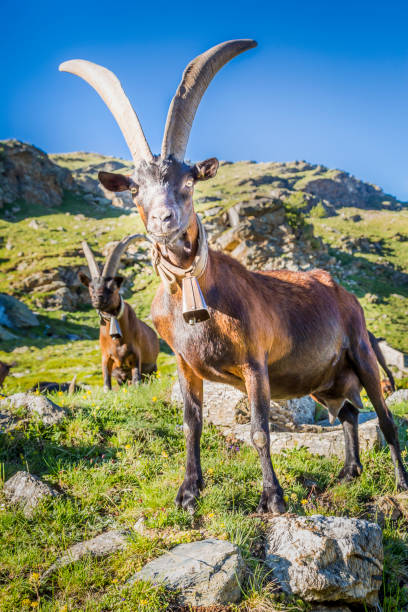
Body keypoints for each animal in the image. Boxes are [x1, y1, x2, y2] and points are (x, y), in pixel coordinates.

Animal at [79, 237, 159, 390]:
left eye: (112, 287)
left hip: (153, 369)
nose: (97, 299)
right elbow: (106, 384)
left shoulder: (136, 355)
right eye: (91, 287)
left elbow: (137, 380)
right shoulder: (106, 357)